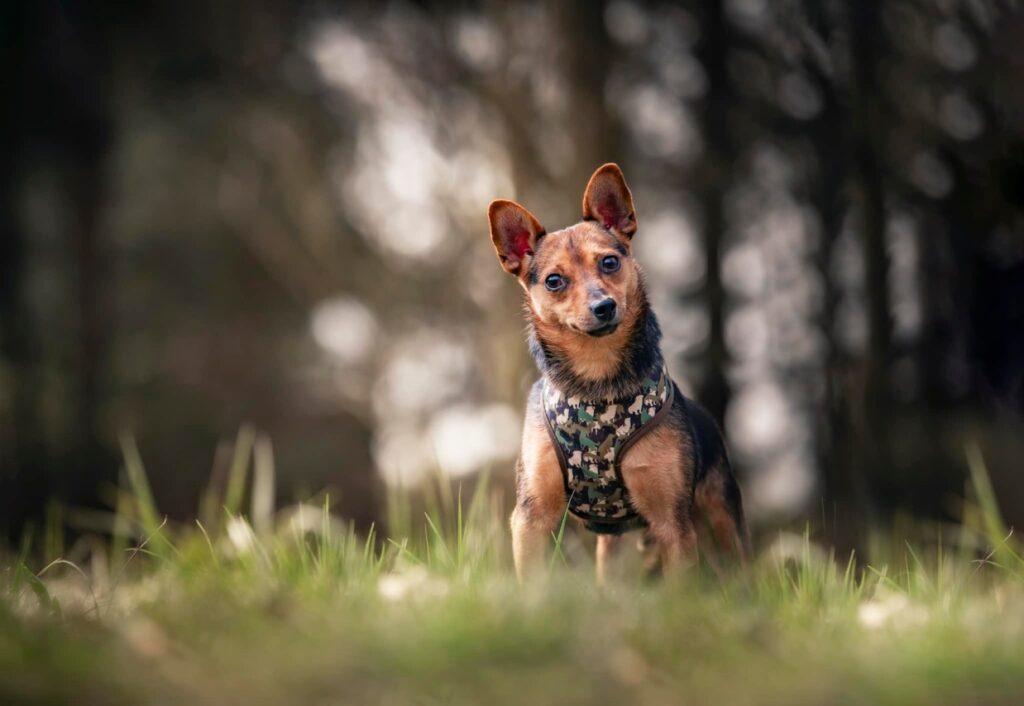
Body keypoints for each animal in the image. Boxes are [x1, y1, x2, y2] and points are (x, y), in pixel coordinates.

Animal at [483, 163, 749, 577]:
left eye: (609, 262)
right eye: (553, 281)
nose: (603, 306)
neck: (597, 381)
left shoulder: (673, 522)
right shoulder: (531, 517)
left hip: (722, 517)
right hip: (613, 545)